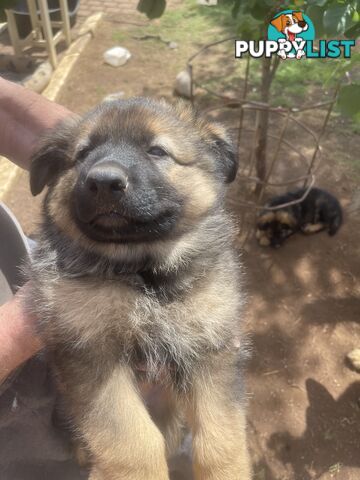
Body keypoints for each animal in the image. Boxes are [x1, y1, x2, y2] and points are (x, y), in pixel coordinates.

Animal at [25, 98, 252, 480]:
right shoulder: (90, 351)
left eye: (157, 151)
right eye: (83, 154)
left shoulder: (209, 349)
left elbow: (220, 436)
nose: (103, 181)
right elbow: (133, 441)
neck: (144, 276)